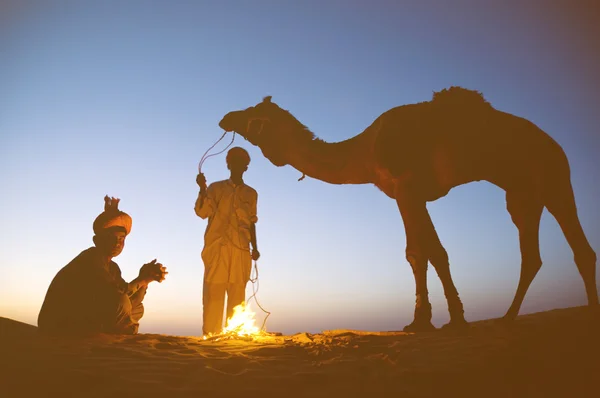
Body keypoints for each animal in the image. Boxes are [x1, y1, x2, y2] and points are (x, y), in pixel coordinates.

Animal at [218, 88, 596, 332]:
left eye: (252, 114)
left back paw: (584, 313)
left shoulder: (406, 189)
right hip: (524, 195)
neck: (365, 151)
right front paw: (443, 318)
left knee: (574, 249)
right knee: (542, 254)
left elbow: (419, 252)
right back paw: (509, 318)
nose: (225, 117)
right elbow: (432, 252)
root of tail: (554, 144)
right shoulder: (415, 196)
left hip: (553, 178)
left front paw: (429, 320)